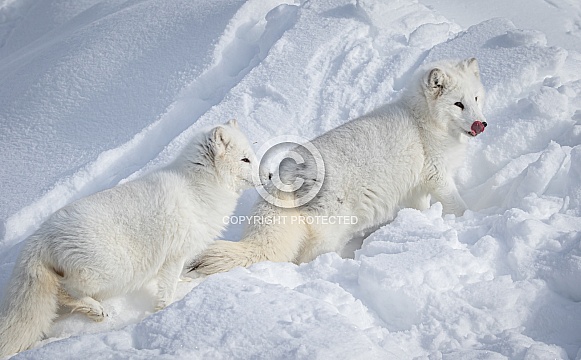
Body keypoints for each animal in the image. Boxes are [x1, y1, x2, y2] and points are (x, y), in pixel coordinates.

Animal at [0, 119, 258, 356]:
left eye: (253, 157)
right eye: (245, 160)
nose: (264, 176)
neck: (197, 188)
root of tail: (39, 237)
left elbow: (174, 279)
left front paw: (185, 283)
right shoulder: (175, 255)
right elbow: (167, 287)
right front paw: (165, 310)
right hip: (111, 270)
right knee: (64, 290)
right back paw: (95, 309)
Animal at [193, 58, 488, 276]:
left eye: (476, 99)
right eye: (458, 104)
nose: (481, 125)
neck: (423, 122)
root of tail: (287, 171)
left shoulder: (417, 191)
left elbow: (421, 209)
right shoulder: (438, 176)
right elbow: (458, 206)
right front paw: (469, 218)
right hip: (330, 233)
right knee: (306, 260)